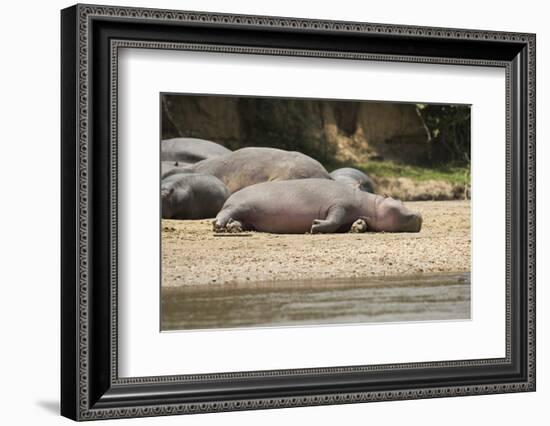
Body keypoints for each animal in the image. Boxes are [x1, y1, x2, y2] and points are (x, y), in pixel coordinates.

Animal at [213, 178, 424, 235]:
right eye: (399, 201)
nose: (420, 214)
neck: (371, 203)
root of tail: (230, 195)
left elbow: (355, 222)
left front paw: (357, 227)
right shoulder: (338, 205)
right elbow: (333, 219)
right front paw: (315, 226)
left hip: (248, 217)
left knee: (239, 221)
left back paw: (234, 228)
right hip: (239, 205)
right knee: (224, 213)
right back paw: (218, 226)